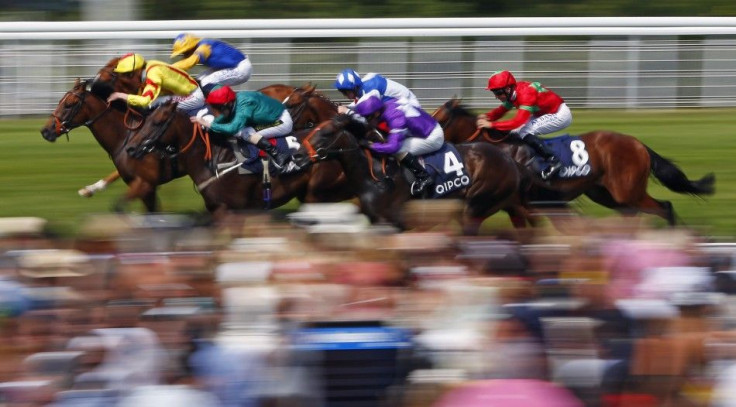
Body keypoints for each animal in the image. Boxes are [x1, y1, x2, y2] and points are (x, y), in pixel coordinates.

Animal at [290, 116, 536, 234]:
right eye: (312, 128)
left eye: (327, 133)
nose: (298, 155)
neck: (376, 177)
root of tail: (512, 161)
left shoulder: (394, 224)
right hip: (505, 203)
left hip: (475, 206)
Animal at [432, 99, 712, 226]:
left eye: (438, 119)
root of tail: (639, 144)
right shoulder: (526, 206)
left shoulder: (528, 203)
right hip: (604, 193)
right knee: (633, 213)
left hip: (627, 192)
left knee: (664, 207)